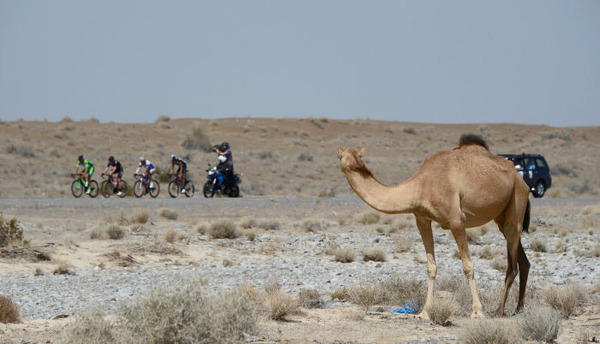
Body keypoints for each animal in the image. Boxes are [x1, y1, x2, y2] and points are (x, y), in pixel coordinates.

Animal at [338, 135, 528, 320]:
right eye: (343, 157)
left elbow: (468, 266)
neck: (421, 186)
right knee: (523, 261)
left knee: (512, 265)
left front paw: (477, 312)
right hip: (500, 216)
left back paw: (499, 311)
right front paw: (425, 312)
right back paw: (518, 309)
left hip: (516, 201)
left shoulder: (457, 220)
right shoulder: (422, 220)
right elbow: (431, 267)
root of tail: (519, 177)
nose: (352, 166)